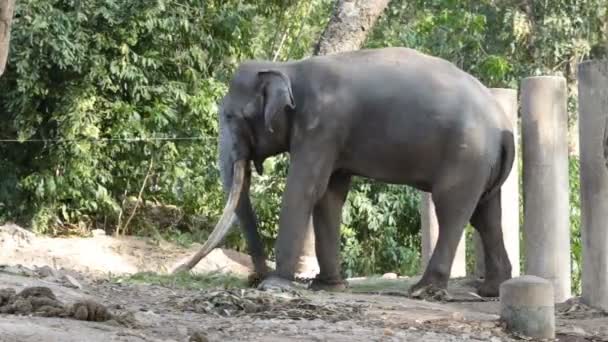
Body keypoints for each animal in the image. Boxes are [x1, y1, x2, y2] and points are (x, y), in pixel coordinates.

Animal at [200, 46, 512, 296]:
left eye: (230, 116)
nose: (254, 278)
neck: (289, 68)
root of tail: (502, 124)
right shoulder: (332, 139)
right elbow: (329, 196)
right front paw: (328, 286)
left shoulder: (322, 126)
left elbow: (305, 188)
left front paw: (275, 285)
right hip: (482, 163)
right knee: (486, 215)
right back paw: (491, 290)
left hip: (466, 156)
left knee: (452, 209)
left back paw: (424, 290)